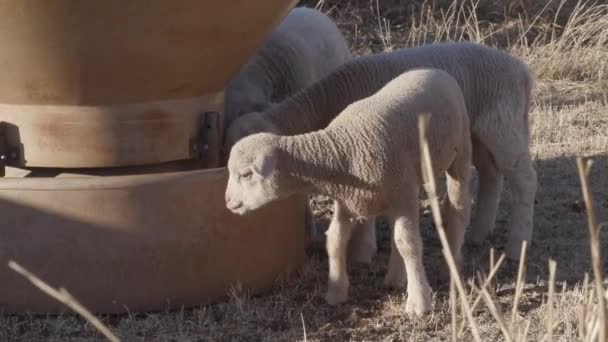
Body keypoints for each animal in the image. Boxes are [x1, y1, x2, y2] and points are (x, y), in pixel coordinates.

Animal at [226, 41, 536, 260]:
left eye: (247, 173)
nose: (228, 197)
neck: (326, 101)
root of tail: (521, 70)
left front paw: (365, 249)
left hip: (502, 125)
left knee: (524, 181)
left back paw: (517, 245)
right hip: (479, 131)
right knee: (491, 174)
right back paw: (478, 234)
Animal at [226, 69, 472, 316]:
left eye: (246, 174)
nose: (227, 201)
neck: (340, 151)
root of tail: (433, 71)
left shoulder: (402, 192)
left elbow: (408, 243)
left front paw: (418, 303)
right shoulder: (348, 200)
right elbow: (335, 240)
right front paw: (336, 293)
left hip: (458, 153)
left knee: (458, 207)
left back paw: (452, 265)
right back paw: (395, 278)